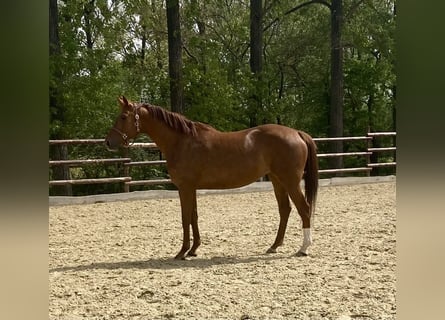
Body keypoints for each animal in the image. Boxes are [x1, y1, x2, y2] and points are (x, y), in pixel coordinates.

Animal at [106, 95, 318, 260]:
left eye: (123, 116)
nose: (108, 142)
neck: (182, 141)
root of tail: (296, 133)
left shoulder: (185, 187)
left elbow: (185, 217)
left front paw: (182, 252)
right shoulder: (191, 188)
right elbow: (194, 216)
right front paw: (193, 250)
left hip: (290, 181)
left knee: (304, 209)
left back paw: (304, 248)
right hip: (277, 180)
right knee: (285, 209)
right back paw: (274, 246)